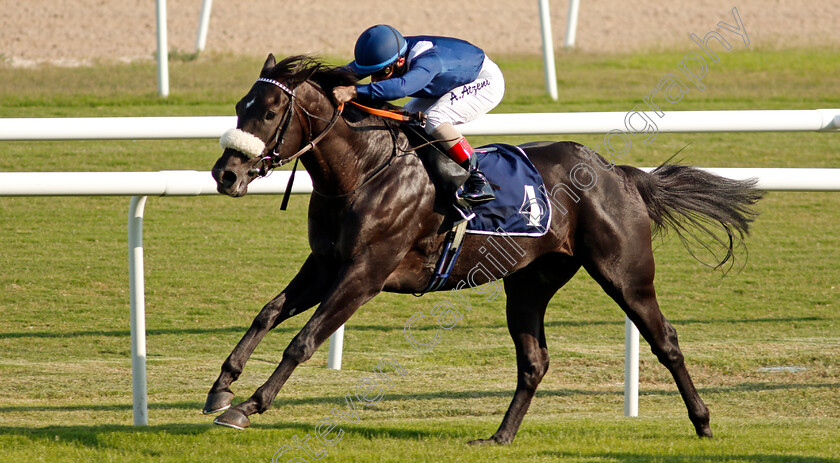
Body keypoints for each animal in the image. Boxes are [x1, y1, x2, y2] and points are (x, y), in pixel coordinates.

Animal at [208, 56, 760, 444]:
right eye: (238, 107)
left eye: (271, 112)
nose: (225, 174)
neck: (364, 171)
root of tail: (616, 172)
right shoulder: (326, 265)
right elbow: (268, 312)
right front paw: (221, 389)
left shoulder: (365, 273)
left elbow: (303, 340)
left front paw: (248, 406)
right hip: (529, 283)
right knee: (534, 362)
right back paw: (500, 436)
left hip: (625, 274)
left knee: (666, 342)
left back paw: (703, 422)